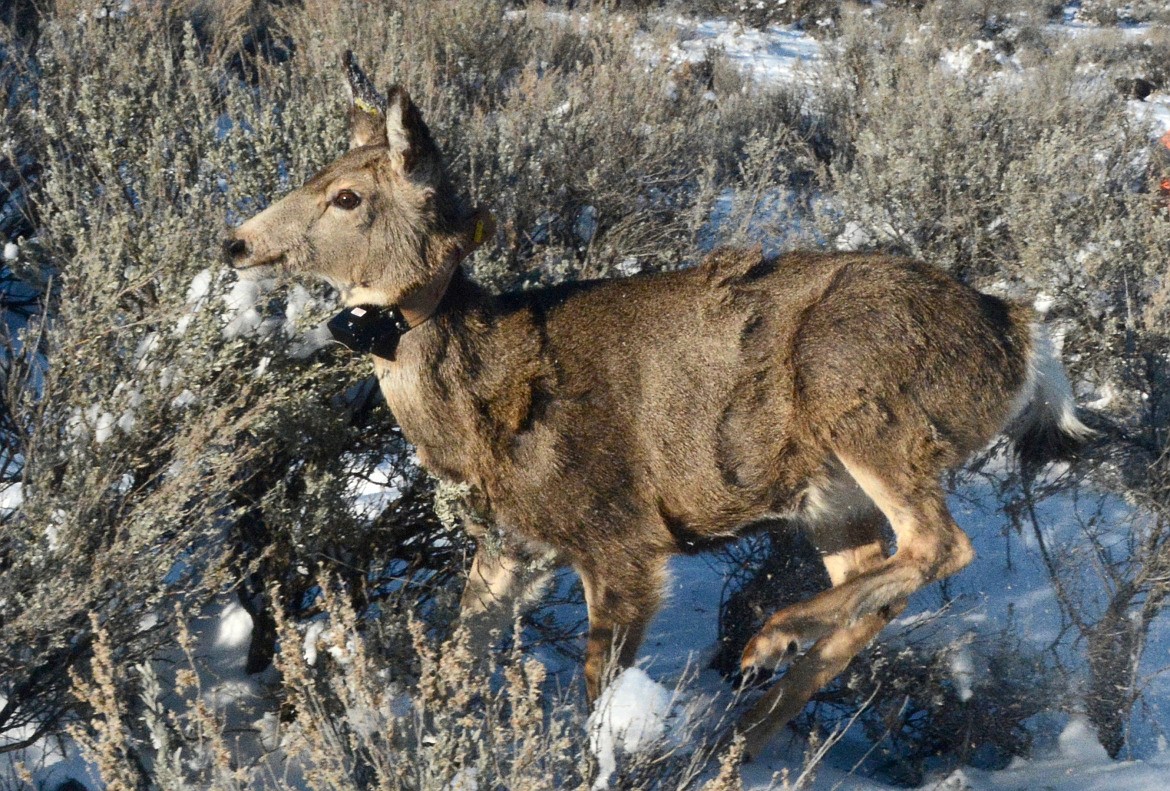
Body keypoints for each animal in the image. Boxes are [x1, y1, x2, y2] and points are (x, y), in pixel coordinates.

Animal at [225, 55, 1085, 758]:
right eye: (321, 172)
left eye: (346, 196)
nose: (237, 242)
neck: (475, 400)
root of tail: (1020, 335)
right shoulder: (514, 541)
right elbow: (458, 647)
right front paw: (404, 731)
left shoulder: (620, 536)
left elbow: (596, 697)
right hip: (832, 497)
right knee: (883, 581)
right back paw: (741, 731)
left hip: (863, 395)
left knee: (940, 542)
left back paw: (766, 642)